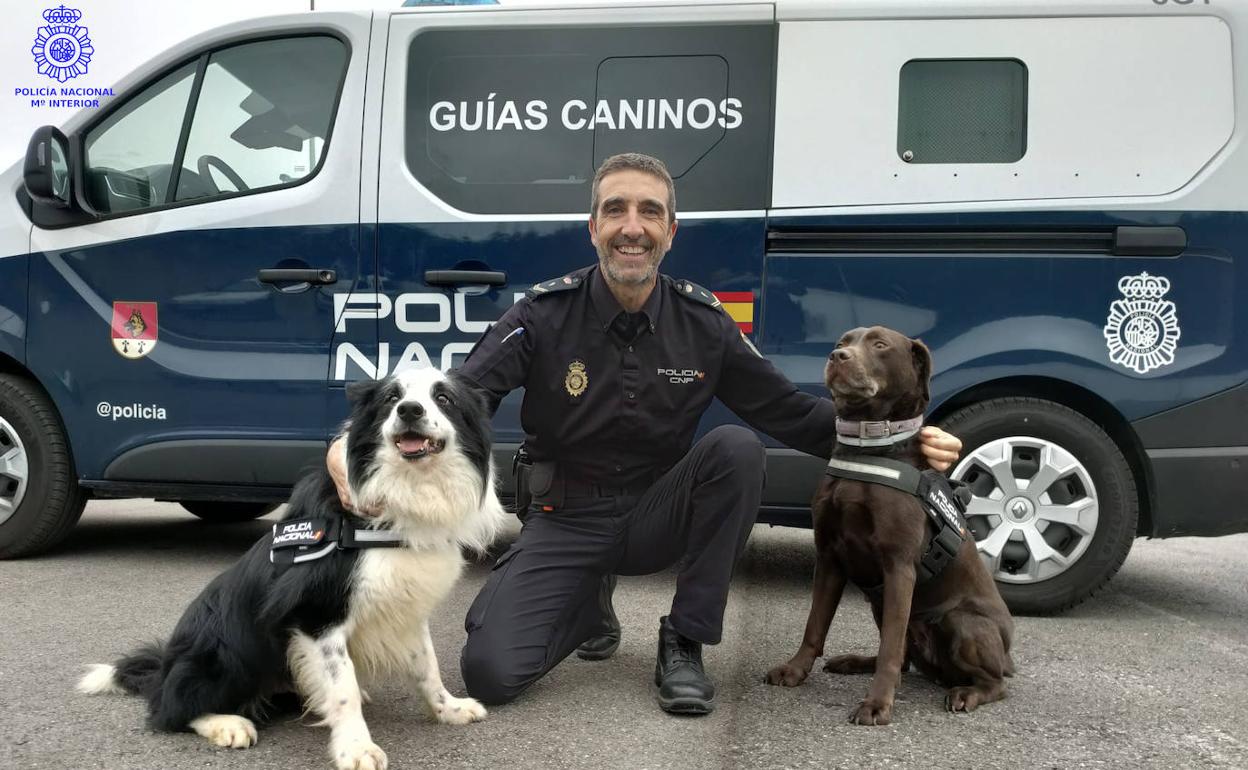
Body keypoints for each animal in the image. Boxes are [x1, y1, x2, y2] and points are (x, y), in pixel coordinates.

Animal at [78, 366, 504, 768]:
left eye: (444, 398)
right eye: (391, 398)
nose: (410, 411)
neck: (402, 496)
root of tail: (164, 668)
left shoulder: (406, 607)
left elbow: (426, 666)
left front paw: (449, 709)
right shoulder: (316, 614)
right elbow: (344, 688)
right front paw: (355, 748)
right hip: (225, 652)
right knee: (168, 710)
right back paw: (227, 723)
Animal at [758, 324, 1013, 718]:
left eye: (880, 345)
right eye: (842, 343)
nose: (837, 356)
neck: (868, 449)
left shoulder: (899, 566)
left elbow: (891, 648)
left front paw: (877, 704)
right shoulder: (829, 557)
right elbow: (815, 625)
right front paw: (795, 670)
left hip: (958, 622)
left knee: (994, 682)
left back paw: (966, 693)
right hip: (881, 605)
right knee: (905, 657)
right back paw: (854, 662)